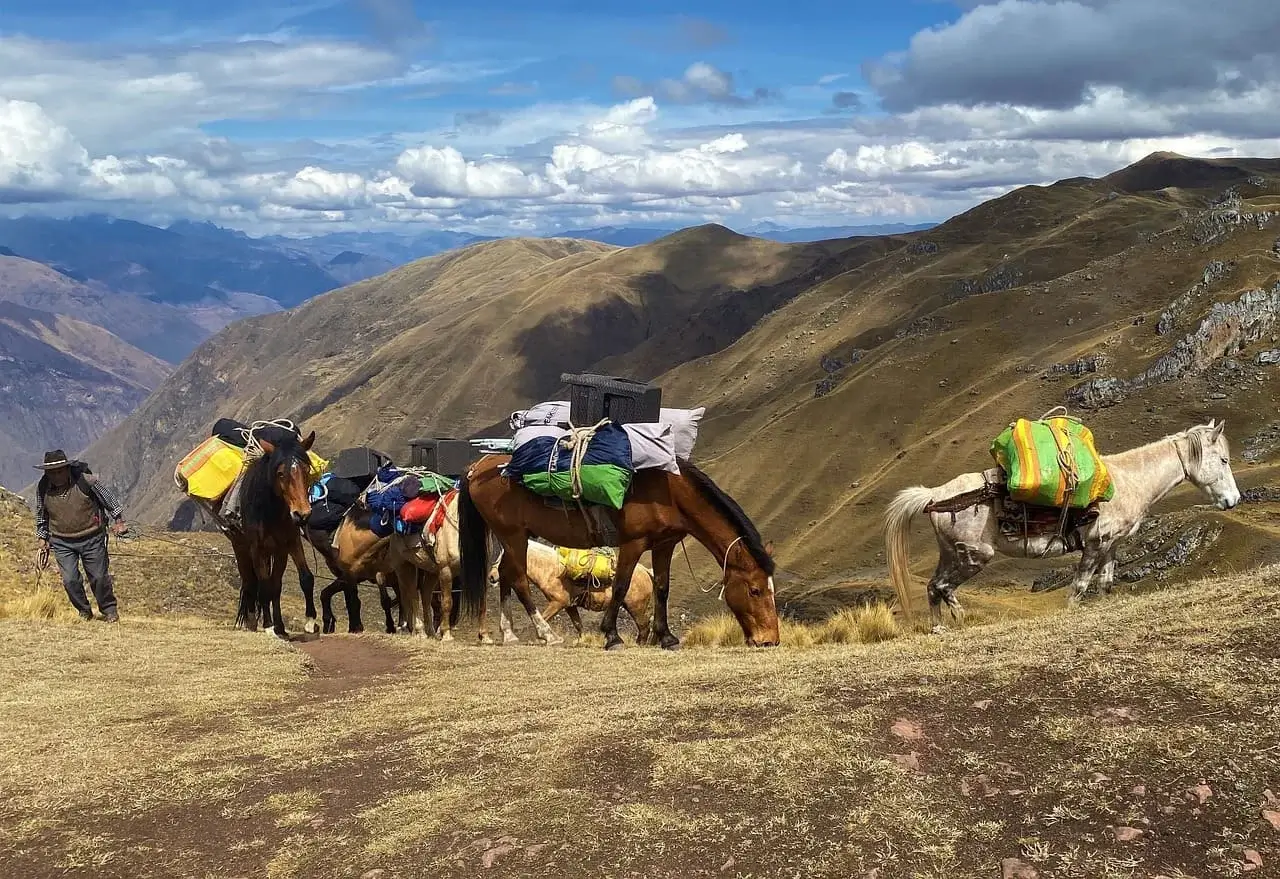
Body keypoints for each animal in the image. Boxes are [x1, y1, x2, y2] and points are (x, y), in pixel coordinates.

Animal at [227, 432, 314, 639]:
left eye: (306, 470)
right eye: (280, 473)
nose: (302, 514)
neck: (271, 513)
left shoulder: (288, 545)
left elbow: (301, 579)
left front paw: (309, 622)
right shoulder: (257, 549)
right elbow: (265, 586)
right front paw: (268, 626)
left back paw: (279, 627)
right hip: (241, 549)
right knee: (250, 583)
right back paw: (252, 622)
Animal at [486, 542, 655, 647]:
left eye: (503, 558)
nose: (492, 577)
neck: (552, 570)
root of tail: (645, 571)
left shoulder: (557, 603)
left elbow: (544, 617)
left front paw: (543, 638)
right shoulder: (569, 606)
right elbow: (578, 625)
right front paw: (582, 641)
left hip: (636, 607)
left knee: (644, 626)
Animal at [885, 422, 1244, 632]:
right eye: (1223, 460)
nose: (1233, 500)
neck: (1127, 482)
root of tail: (936, 495)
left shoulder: (1111, 544)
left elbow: (1106, 584)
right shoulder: (1096, 543)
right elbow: (1080, 586)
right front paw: (1071, 613)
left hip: (950, 553)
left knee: (933, 587)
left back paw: (941, 628)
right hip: (974, 555)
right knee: (943, 587)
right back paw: (956, 622)